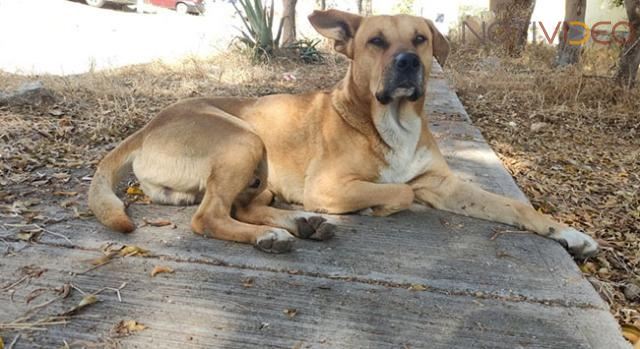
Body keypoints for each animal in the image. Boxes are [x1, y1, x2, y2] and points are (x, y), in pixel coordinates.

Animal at [90, 9, 600, 256]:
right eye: (376, 42)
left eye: (420, 40)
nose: (408, 62)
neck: (394, 121)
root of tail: (147, 126)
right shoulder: (329, 186)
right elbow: (401, 192)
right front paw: (381, 205)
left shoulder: (445, 184)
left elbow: (515, 206)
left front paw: (567, 234)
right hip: (243, 139)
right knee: (210, 216)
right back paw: (273, 236)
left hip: (256, 169)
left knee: (241, 205)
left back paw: (299, 224)